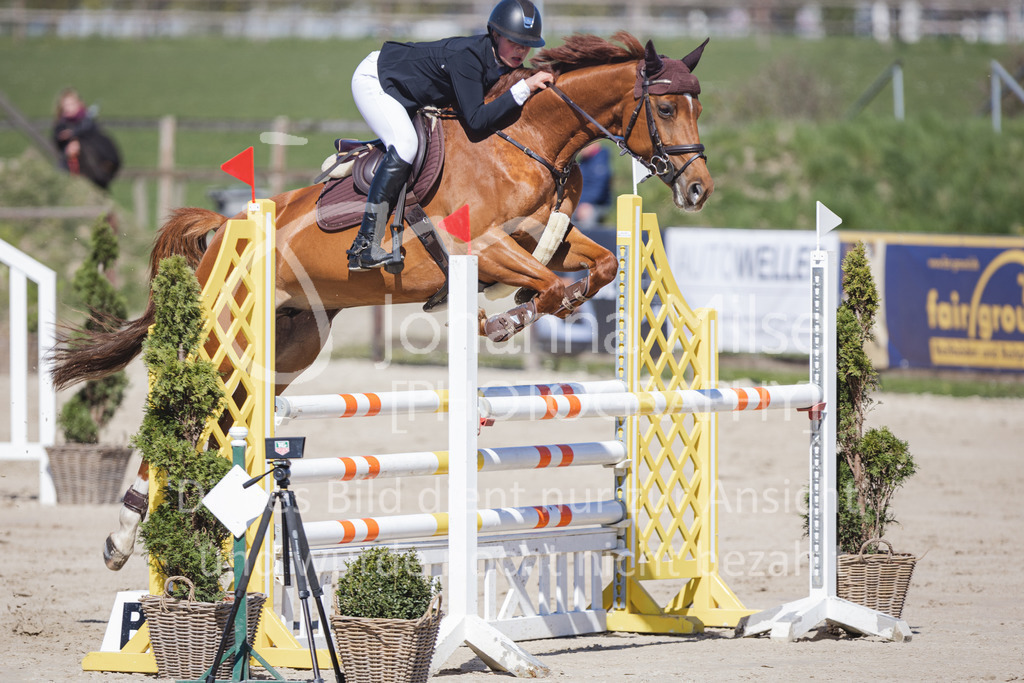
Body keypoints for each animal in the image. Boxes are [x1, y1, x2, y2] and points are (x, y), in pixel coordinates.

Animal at [49, 32, 714, 570]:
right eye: (664, 106)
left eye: (697, 106)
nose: (698, 189)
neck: (523, 138)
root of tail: (225, 228)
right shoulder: (480, 244)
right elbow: (546, 285)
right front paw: (504, 319)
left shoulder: (531, 237)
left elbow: (599, 265)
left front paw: (542, 303)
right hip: (225, 339)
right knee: (177, 411)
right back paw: (124, 533)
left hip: (287, 348)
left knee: (216, 419)